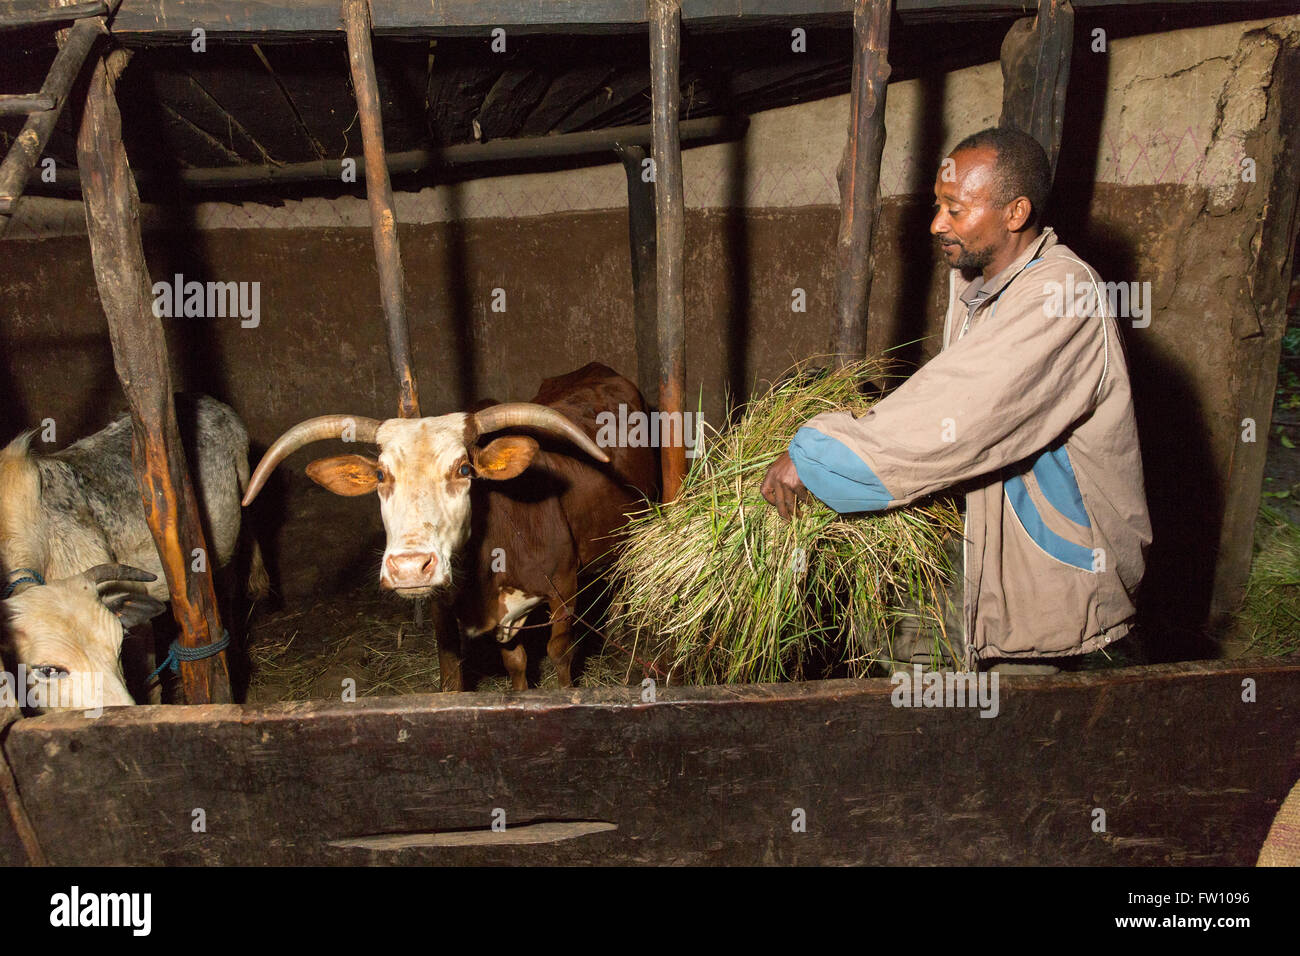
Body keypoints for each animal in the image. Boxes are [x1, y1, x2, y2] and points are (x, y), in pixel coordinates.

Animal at [243, 361, 655, 691]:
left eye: (464, 469)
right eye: (380, 474)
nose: (410, 568)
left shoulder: (564, 589)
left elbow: (560, 655)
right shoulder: (454, 612)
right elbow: (501, 665)